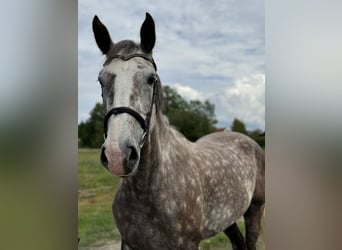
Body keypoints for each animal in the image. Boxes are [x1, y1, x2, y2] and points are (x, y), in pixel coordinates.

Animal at [91, 12, 264, 250]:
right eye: (101, 80)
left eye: (151, 79)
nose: (117, 154)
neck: (147, 189)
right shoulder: (128, 243)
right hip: (228, 219)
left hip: (255, 210)